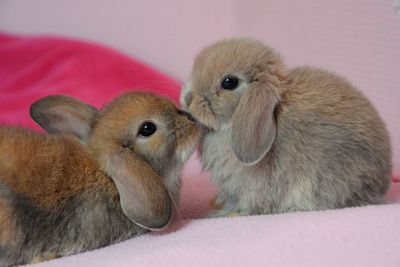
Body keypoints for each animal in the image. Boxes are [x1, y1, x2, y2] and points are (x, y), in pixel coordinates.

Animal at [182, 37, 394, 218]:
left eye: (229, 82)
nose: (188, 98)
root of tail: (383, 180)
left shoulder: (257, 186)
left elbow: (252, 205)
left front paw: (227, 213)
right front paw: (218, 202)